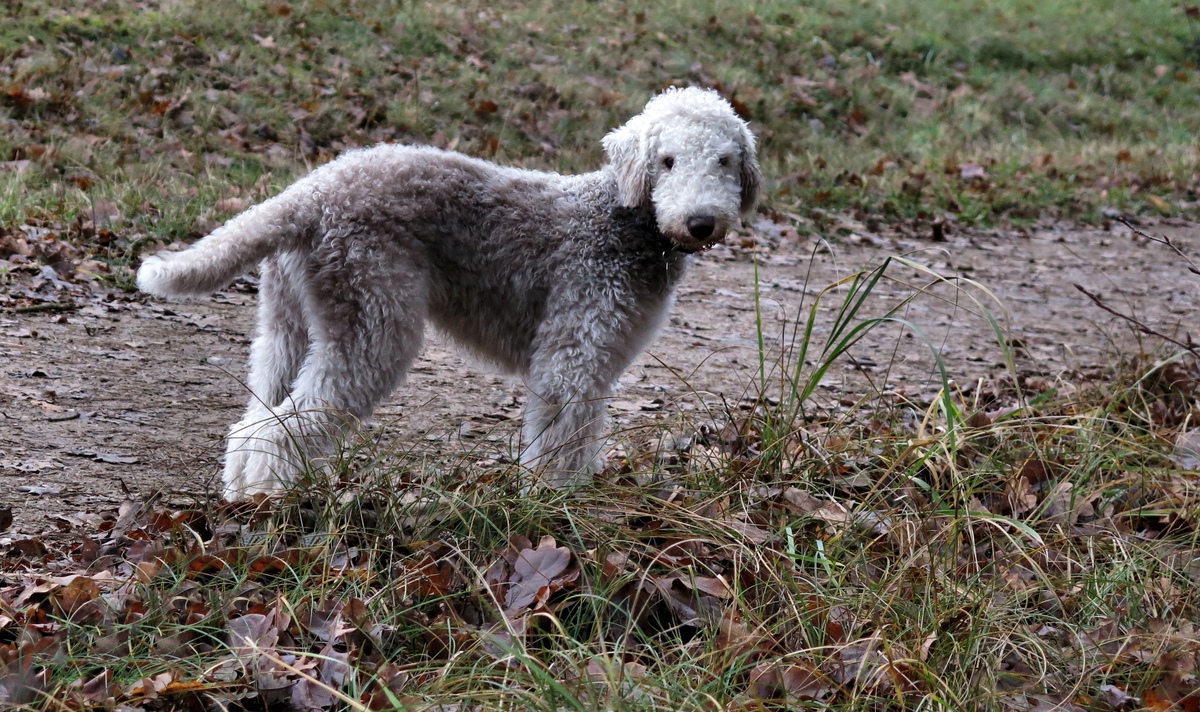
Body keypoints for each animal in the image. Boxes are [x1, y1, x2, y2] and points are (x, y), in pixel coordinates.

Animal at [138, 87, 758, 499]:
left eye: (725, 160)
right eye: (667, 161)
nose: (701, 222)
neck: (623, 217)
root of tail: (308, 193)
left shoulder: (594, 364)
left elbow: (578, 438)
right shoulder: (573, 357)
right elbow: (559, 440)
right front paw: (555, 502)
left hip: (287, 325)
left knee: (251, 424)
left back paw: (245, 494)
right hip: (372, 325)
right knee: (276, 430)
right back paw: (274, 500)